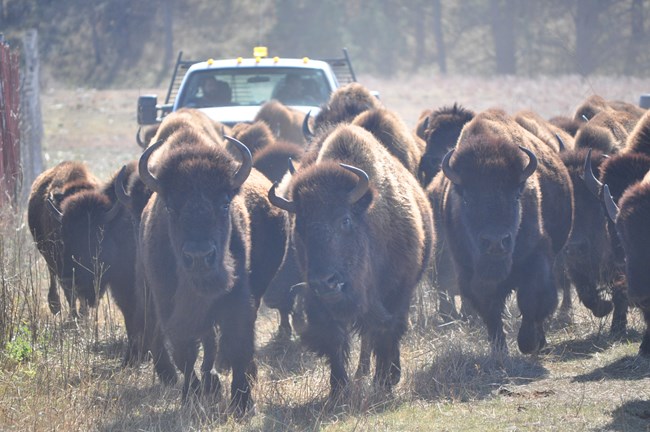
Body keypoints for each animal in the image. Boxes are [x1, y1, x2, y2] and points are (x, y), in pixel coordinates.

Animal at [137, 132, 256, 416]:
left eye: (224, 204)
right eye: (171, 207)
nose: (199, 256)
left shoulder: (238, 298)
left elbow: (238, 344)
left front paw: (243, 403)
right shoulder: (169, 306)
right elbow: (185, 352)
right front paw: (190, 395)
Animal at [266, 123, 432, 396]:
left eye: (345, 220)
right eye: (299, 226)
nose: (325, 282)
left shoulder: (396, 293)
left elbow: (387, 332)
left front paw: (385, 382)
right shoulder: (321, 302)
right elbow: (335, 339)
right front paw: (338, 388)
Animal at [428, 109, 568, 354]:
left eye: (516, 196)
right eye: (467, 199)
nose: (495, 242)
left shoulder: (537, 257)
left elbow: (532, 299)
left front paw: (528, 343)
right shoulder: (469, 272)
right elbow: (490, 310)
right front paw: (499, 349)